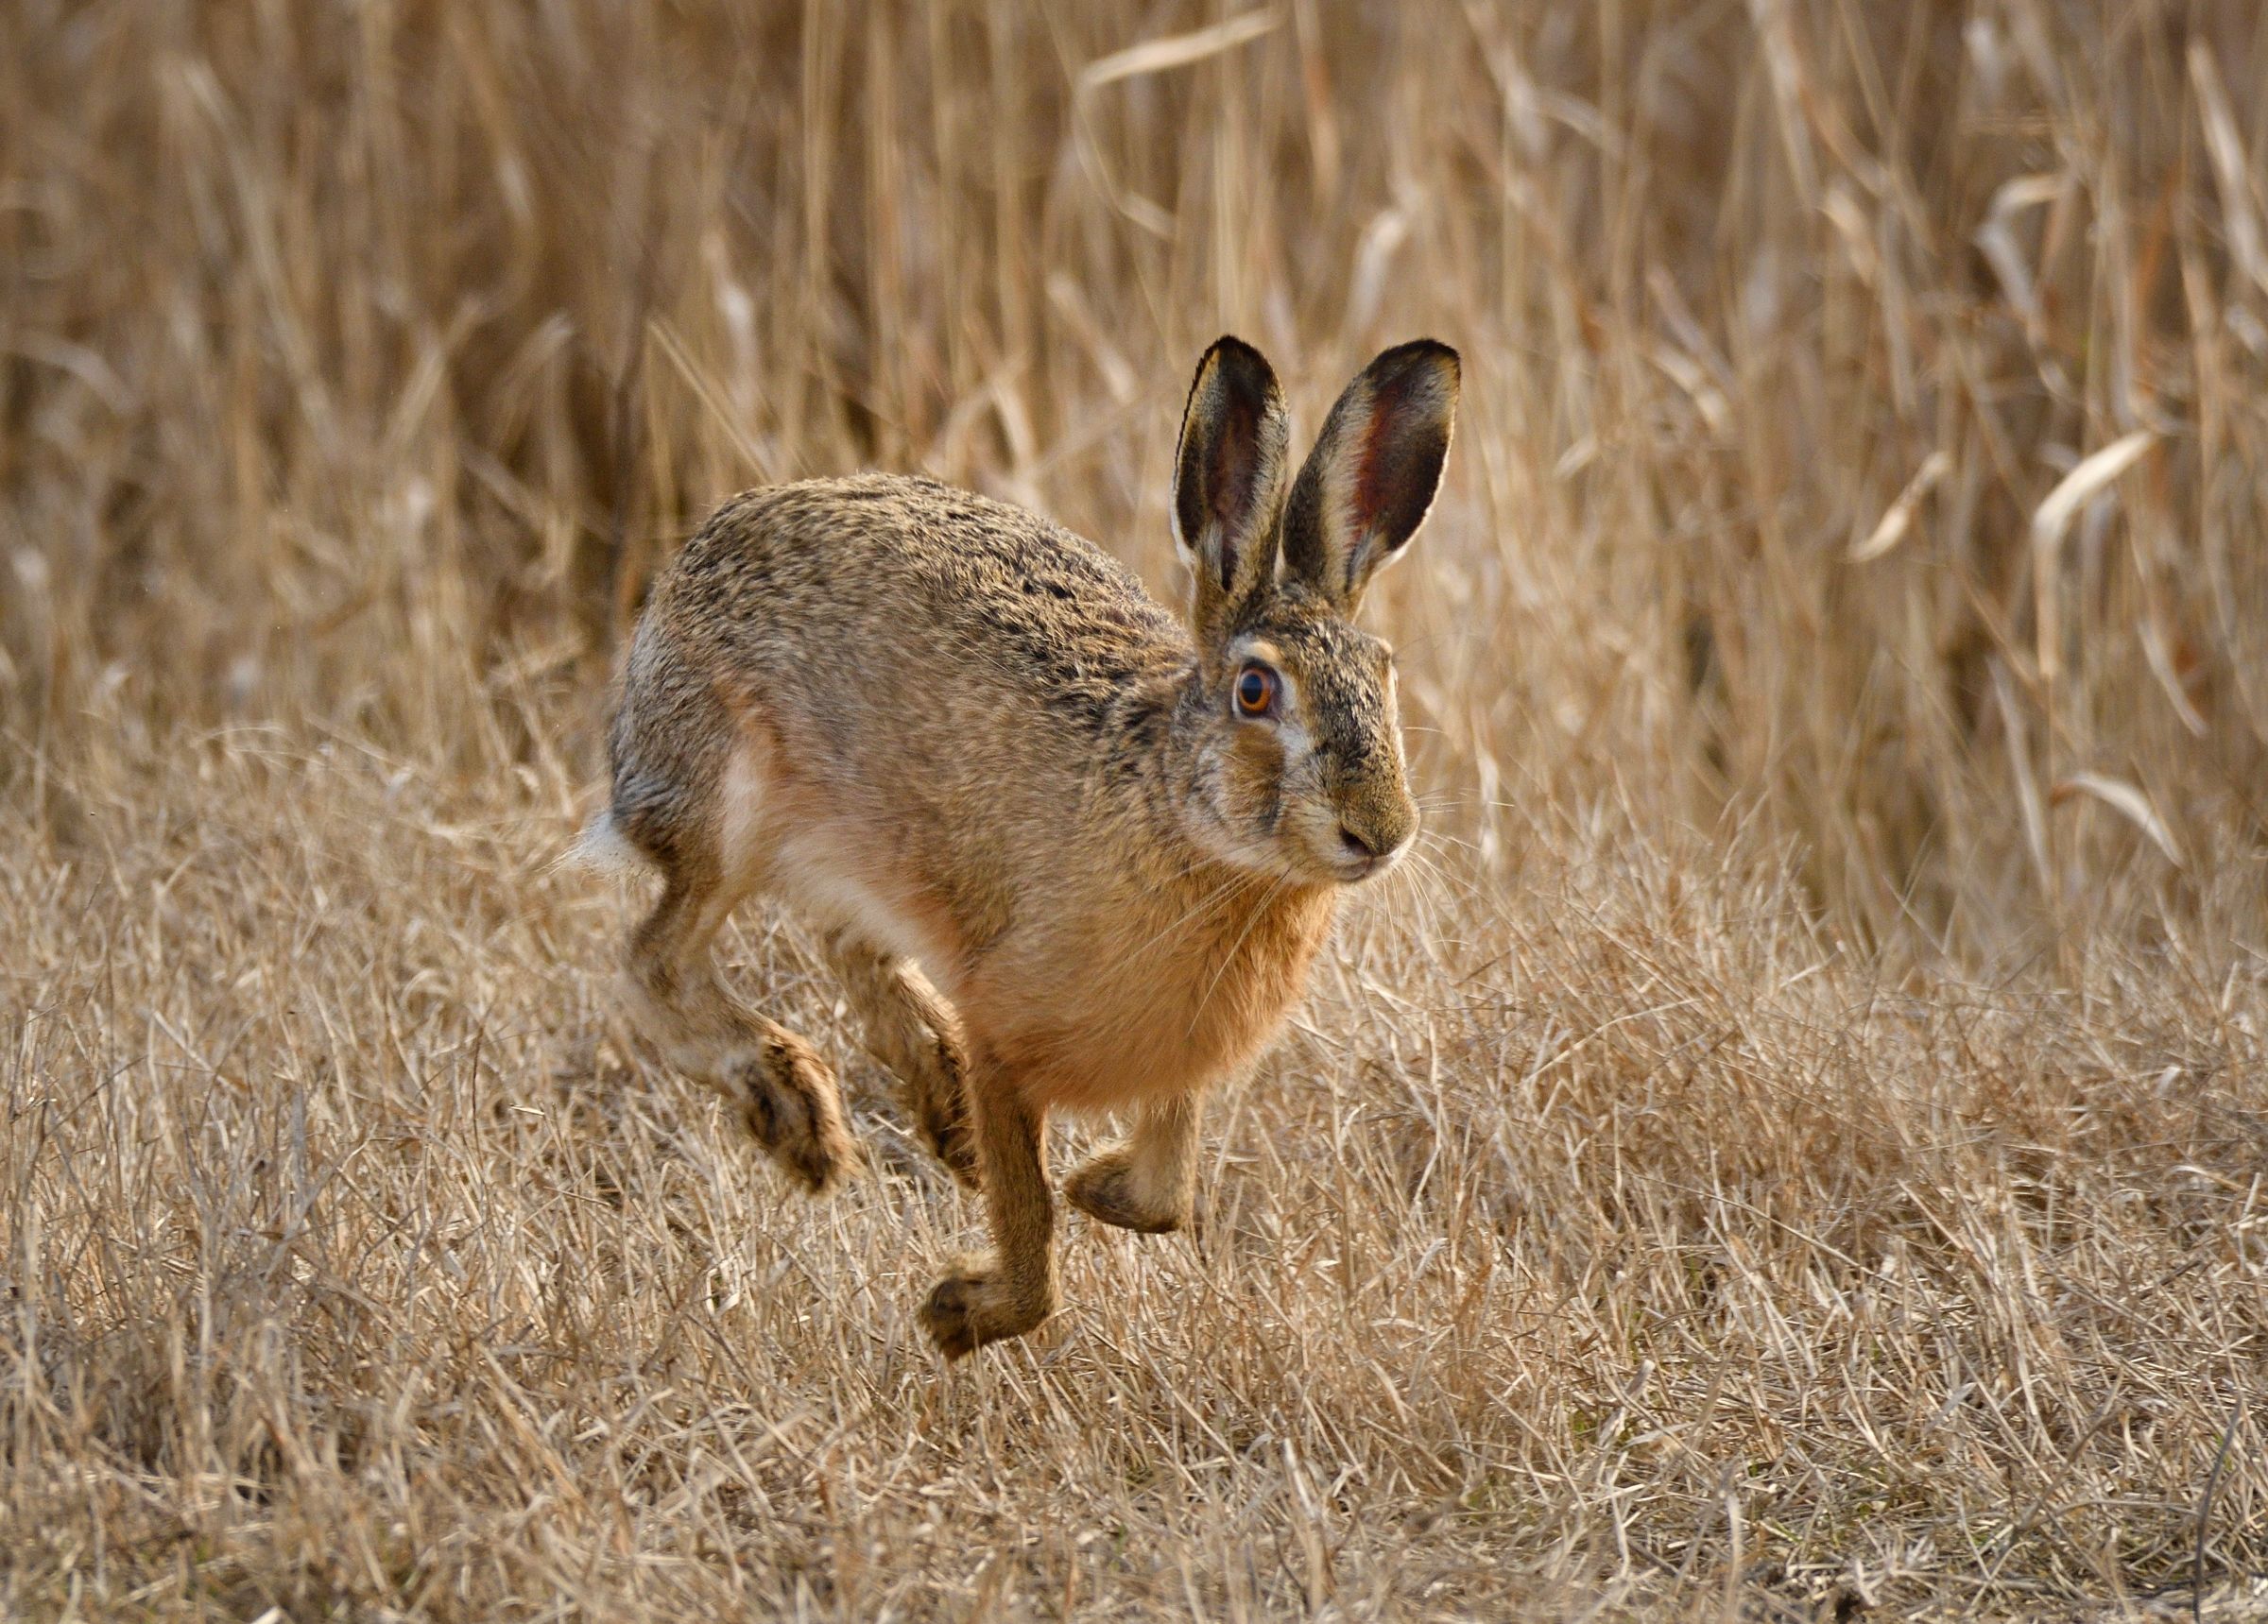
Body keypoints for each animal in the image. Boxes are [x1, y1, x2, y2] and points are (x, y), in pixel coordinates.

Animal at [586, 335, 1459, 1356]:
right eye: (1254, 691)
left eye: (1384, 673)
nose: (1381, 830)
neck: (1175, 808)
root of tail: (689, 565)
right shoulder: (1006, 1033)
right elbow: (1032, 1220)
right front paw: (958, 1312)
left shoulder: (1181, 1061)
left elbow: (1166, 1194)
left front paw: (1097, 1186)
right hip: (728, 809)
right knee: (657, 956)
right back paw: (800, 1115)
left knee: (842, 947)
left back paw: (937, 1109)